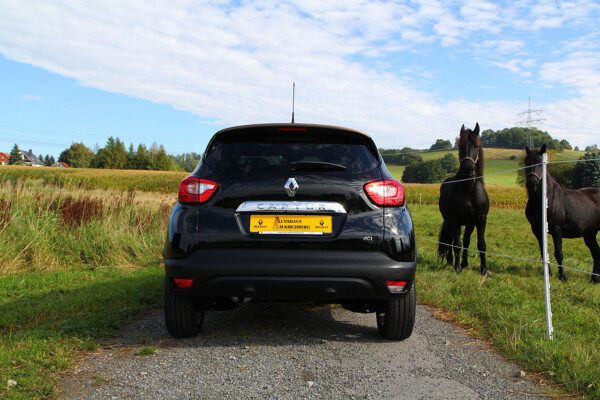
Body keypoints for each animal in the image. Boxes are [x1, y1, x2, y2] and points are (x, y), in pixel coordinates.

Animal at [438, 123, 490, 276]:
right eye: (460, 146)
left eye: (476, 146)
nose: (468, 167)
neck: (468, 190)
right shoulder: (454, 220)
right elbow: (457, 244)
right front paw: (457, 267)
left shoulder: (480, 219)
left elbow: (481, 244)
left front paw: (484, 270)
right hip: (450, 221)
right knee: (450, 240)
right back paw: (451, 260)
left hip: (469, 223)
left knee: (466, 241)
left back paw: (465, 263)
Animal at [524, 145, 600, 282]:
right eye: (526, 163)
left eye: (540, 163)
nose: (532, 183)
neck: (546, 200)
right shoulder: (537, 230)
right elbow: (544, 252)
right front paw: (547, 274)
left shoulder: (557, 229)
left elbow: (558, 253)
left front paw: (562, 276)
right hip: (590, 234)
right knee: (596, 252)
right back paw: (594, 279)